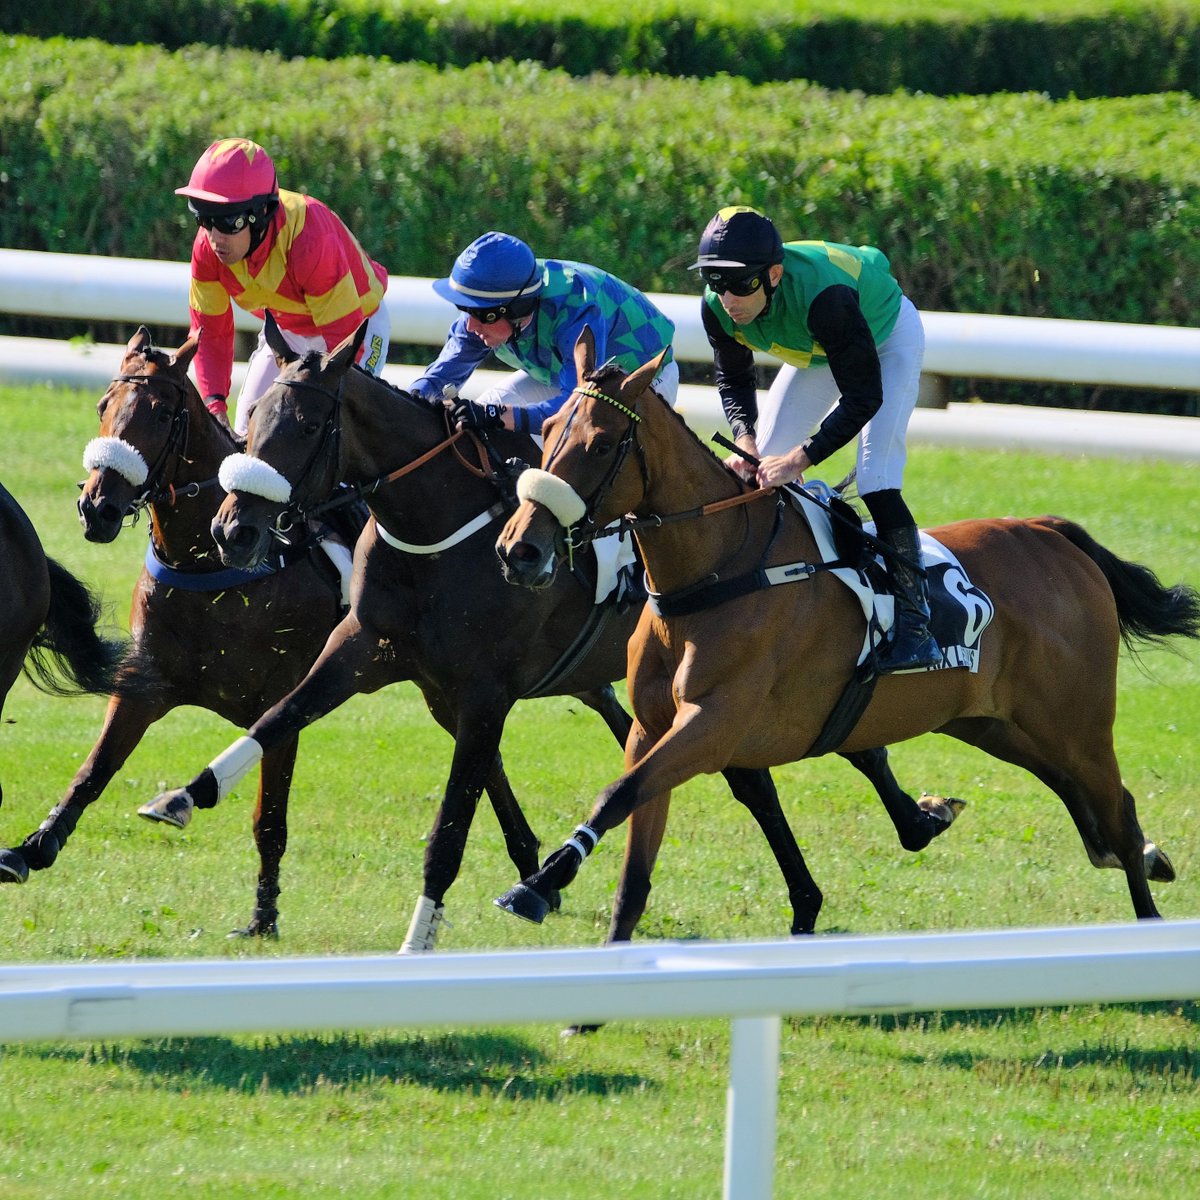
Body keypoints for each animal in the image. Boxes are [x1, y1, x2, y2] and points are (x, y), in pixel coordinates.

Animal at [140, 316, 960, 945]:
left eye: (308, 424)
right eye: (252, 417)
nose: (233, 530)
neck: (439, 522)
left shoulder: (485, 691)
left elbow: (449, 829)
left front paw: (419, 938)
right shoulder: (367, 645)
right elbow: (280, 716)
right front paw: (183, 795)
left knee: (832, 743)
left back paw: (912, 816)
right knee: (748, 775)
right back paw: (818, 887)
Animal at [492, 326, 1195, 926]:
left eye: (601, 444)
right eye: (547, 427)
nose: (518, 549)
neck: (718, 573)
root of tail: (1052, 533)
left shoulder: (714, 726)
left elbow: (620, 793)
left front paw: (537, 884)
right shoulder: (654, 725)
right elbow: (633, 827)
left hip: (1076, 725)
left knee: (1117, 812)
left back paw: (1147, 919)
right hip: (997, 724)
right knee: (1099, 814)